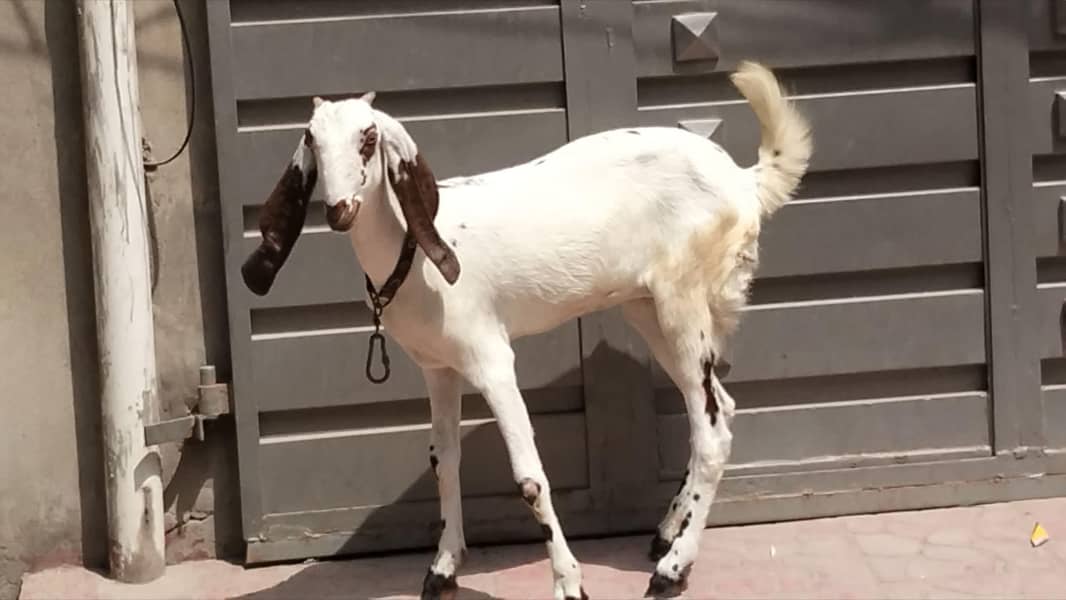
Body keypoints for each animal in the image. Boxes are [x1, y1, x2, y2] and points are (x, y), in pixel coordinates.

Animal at [241, 61, 812, 600]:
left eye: (369, 137)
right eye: (312, 139)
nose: (340, 210)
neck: (415, 251)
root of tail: (745, 181)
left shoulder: (492, 359)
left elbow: (530, 478)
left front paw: (569, 583)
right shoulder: (438, 368)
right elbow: (444, 461)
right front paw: (442, 569)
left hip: (683, 301)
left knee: (712, 429)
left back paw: (672, 571)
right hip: (647, 308)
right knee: (719, 407)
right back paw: (668, 531)